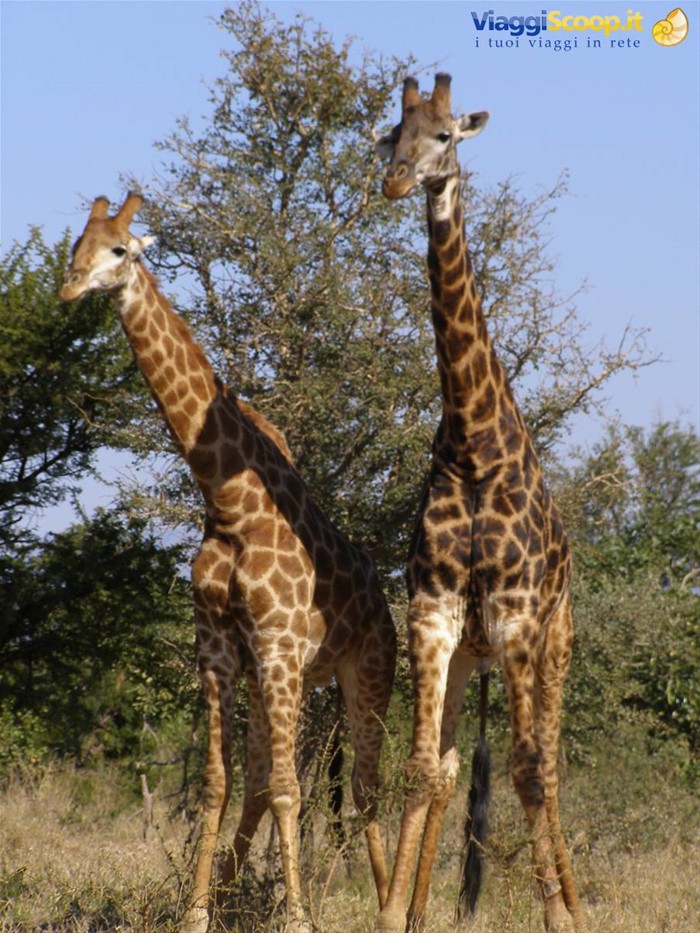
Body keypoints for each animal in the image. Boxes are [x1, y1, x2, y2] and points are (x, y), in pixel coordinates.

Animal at [60, 193, 396, 933]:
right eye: (76, 246)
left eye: (120, 249)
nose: (70, 287)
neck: (228, 500)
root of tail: (387, 605)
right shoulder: (217, 647)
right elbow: (220, 782)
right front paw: (197, 911)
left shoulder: (276, 646)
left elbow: (291, 787)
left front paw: (296, 918)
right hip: (281, 677)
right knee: (262, 780)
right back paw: (238, 888)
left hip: (366, 672)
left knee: (365, 786)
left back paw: (393, 910)